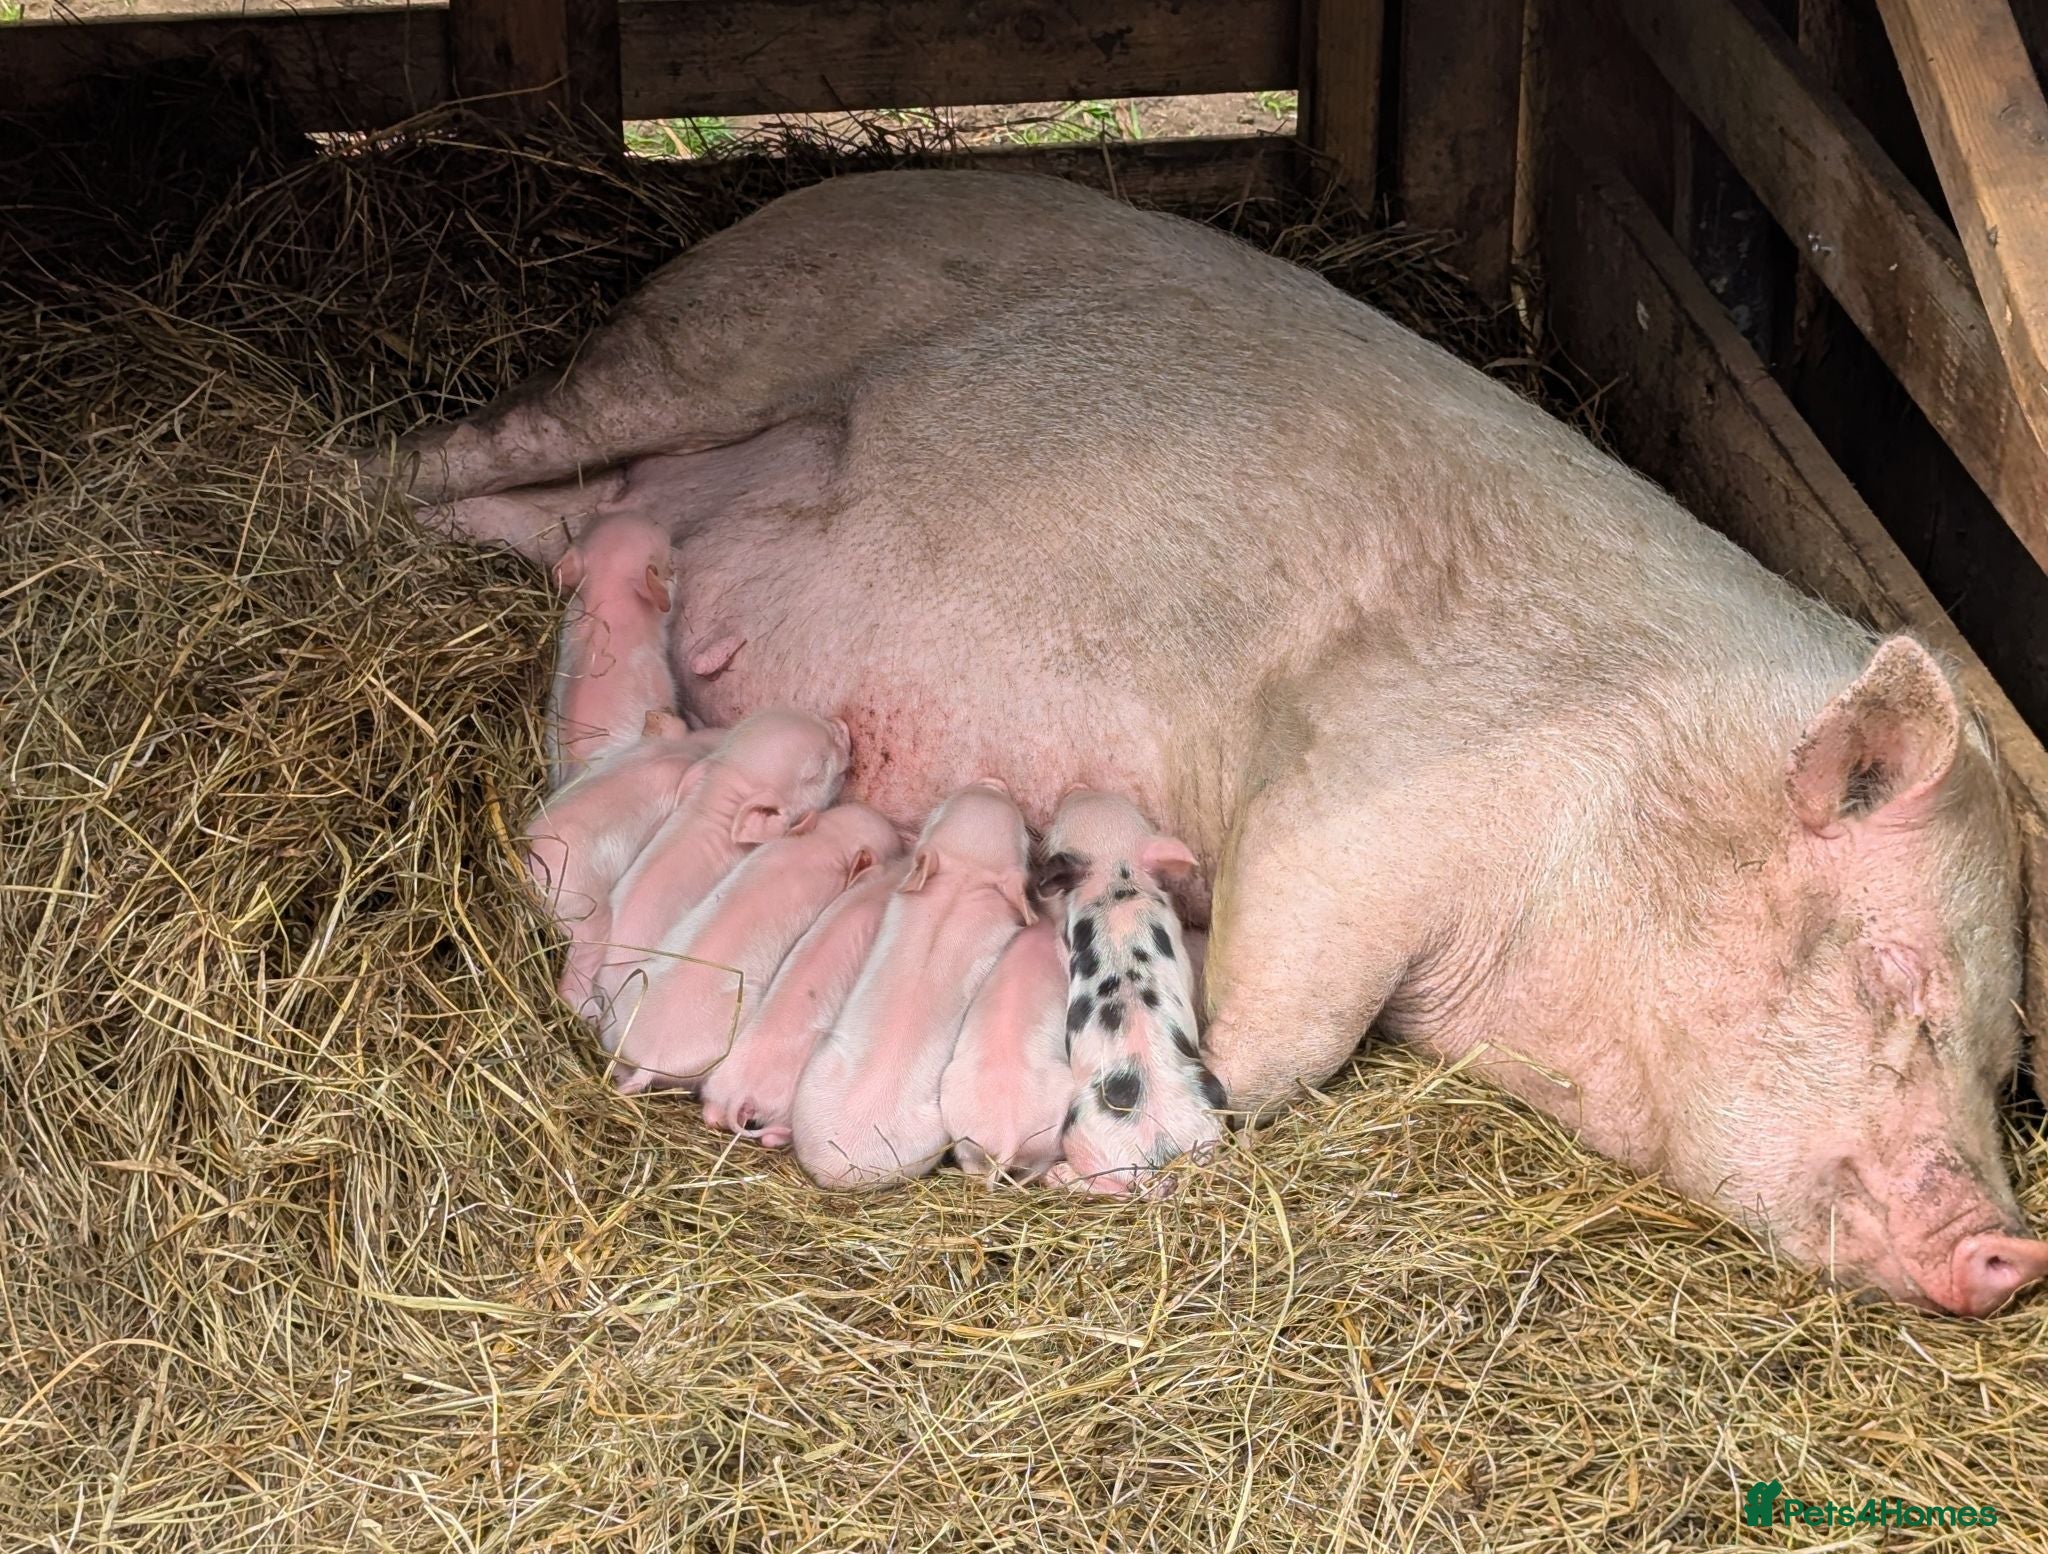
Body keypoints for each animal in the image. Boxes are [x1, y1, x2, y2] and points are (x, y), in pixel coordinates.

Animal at [1036, 790, 1223, 1194]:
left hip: (1079, 1127)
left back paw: (1057, 1176)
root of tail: (1158, 1155)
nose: (1077, 791)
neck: (1115, 882)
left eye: (1060, 822)